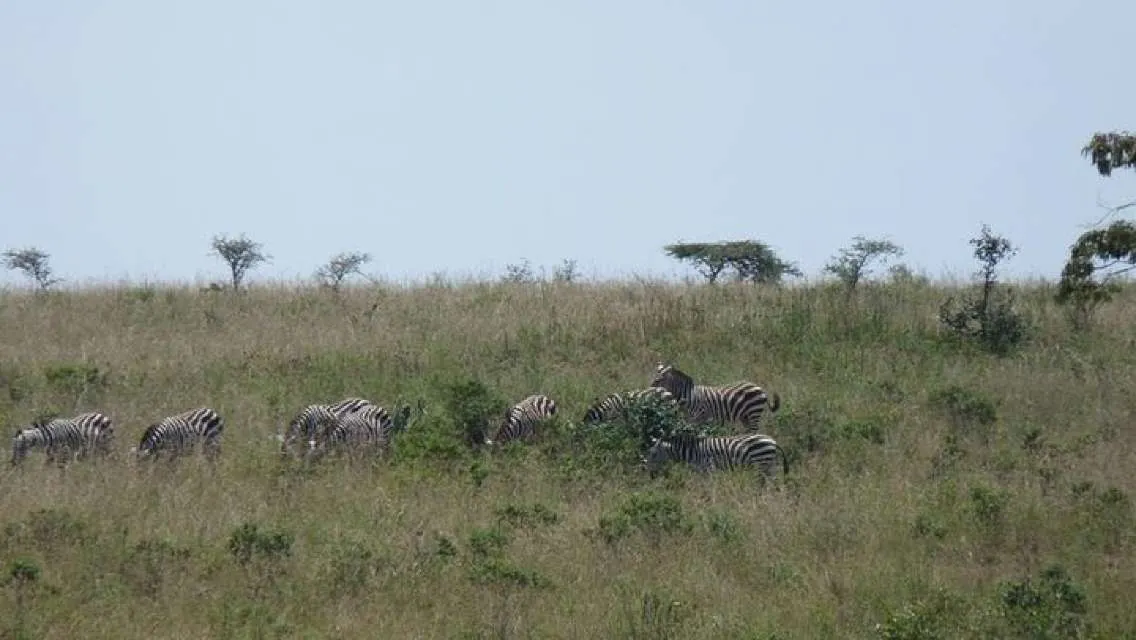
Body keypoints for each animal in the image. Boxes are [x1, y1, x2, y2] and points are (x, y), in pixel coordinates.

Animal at [640, 434, 790, 477]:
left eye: (653, 454)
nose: (648, 473)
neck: (693, 453)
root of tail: (773, 441)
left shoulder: (708, 470)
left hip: (762, 464)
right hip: (767, 465)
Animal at [649, 363, 781, 434]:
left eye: (658, 380)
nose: (649, 389)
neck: (689, 396)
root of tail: (759, 387)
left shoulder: (700, 419)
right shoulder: (689, 420)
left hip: (754, 413)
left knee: (754, 430)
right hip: (745, 416)